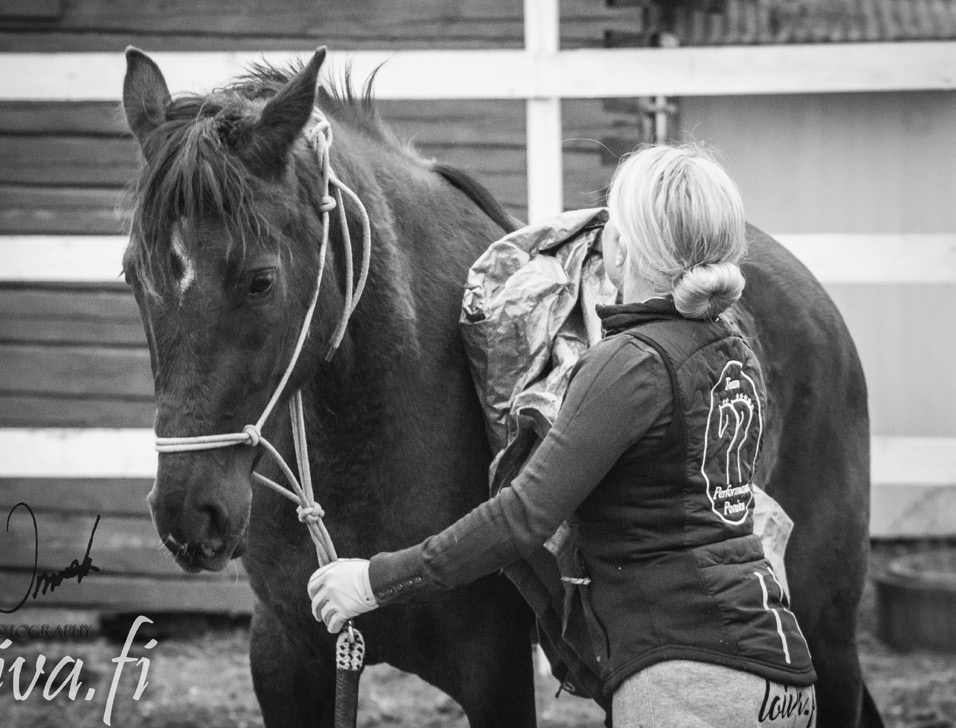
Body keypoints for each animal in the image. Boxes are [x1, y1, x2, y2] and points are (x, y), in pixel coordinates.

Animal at [123, 48, 884, 724]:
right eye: (132, 273)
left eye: (260, 279)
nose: (188, 513)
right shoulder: (286, 657)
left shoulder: (492, 669)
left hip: (823, 620)